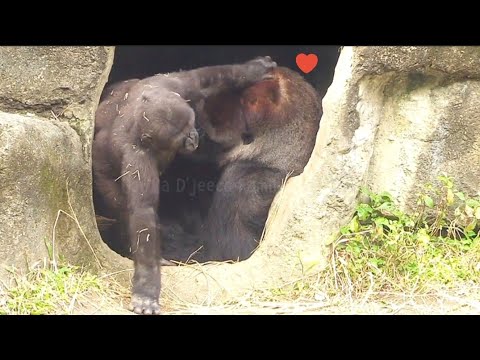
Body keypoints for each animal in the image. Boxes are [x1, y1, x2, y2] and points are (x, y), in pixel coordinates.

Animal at [93, 57, 278, 316]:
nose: (194, 137)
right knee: (120, 206)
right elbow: (142, 214)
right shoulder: (137, 160)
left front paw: (254, 70)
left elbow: (203, 79)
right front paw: (146, 287)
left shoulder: (171, 86)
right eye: (181, 137)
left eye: (191, 124)